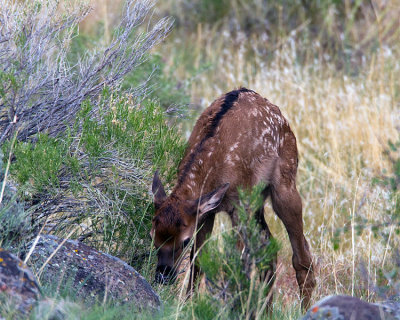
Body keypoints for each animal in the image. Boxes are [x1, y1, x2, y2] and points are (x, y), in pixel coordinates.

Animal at [151, 87, 316, 308]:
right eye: (153, 235)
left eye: (184, 241)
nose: (163, 275)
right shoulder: (205, 213)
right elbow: (199, 259)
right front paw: (188, 304)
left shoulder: (238, 206)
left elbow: (235, 261)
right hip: (256, 202)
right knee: (269, 247)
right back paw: (266, 309)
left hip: (284, 184)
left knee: (300, 254)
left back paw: (304, 307)